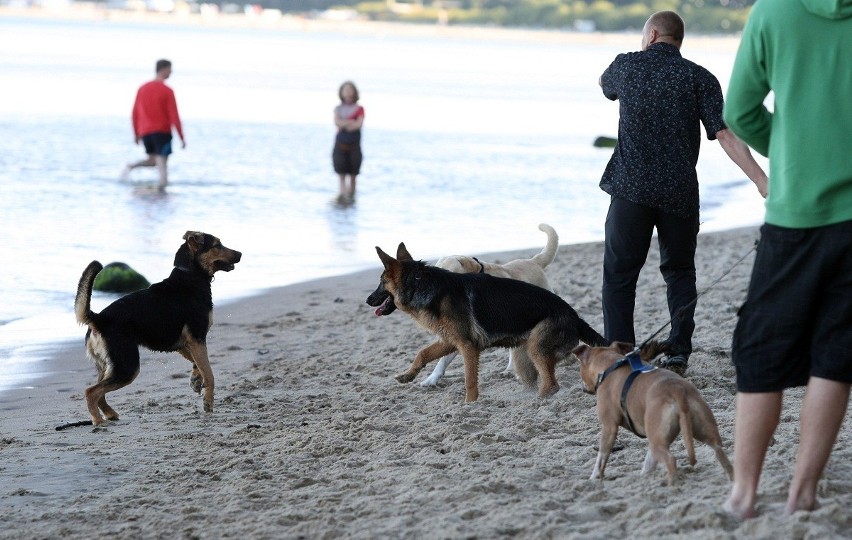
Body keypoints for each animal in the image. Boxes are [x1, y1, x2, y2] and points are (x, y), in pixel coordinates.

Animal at [73, 230, 241, 424]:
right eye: (217, 245)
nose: (240, 254)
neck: (190, 274)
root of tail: (98, 318)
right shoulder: (196, 339)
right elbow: (209, 373)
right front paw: (208, 403)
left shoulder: (185, 343)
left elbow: (198, 364)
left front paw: (195, 380)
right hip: (127, 366)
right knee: (91, 391)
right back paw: (98, 421)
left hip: (109, 364)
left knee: (99, 393)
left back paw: (109, 414)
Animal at [366, 244, 604, 400]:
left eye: (380, 282)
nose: (367, 300)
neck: (423, 285)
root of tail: (574, 315)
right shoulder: (451, 340)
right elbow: (423, 354)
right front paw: (409, 376)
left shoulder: (467, 346)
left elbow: (470, 380)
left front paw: (469, 404)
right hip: (530, 350)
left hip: (536, 345)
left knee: (552, 382)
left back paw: (539, 399)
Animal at [572, 342, 732, 486]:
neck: (610, 364)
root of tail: (678, 391)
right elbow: (649, 461)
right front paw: (645, 478)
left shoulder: (609, 427)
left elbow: (601, 458)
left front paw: (594, 478)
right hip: (697, 432)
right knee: (720, 452)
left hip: (659, 441)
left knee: (671, 460)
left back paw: (671, 486)